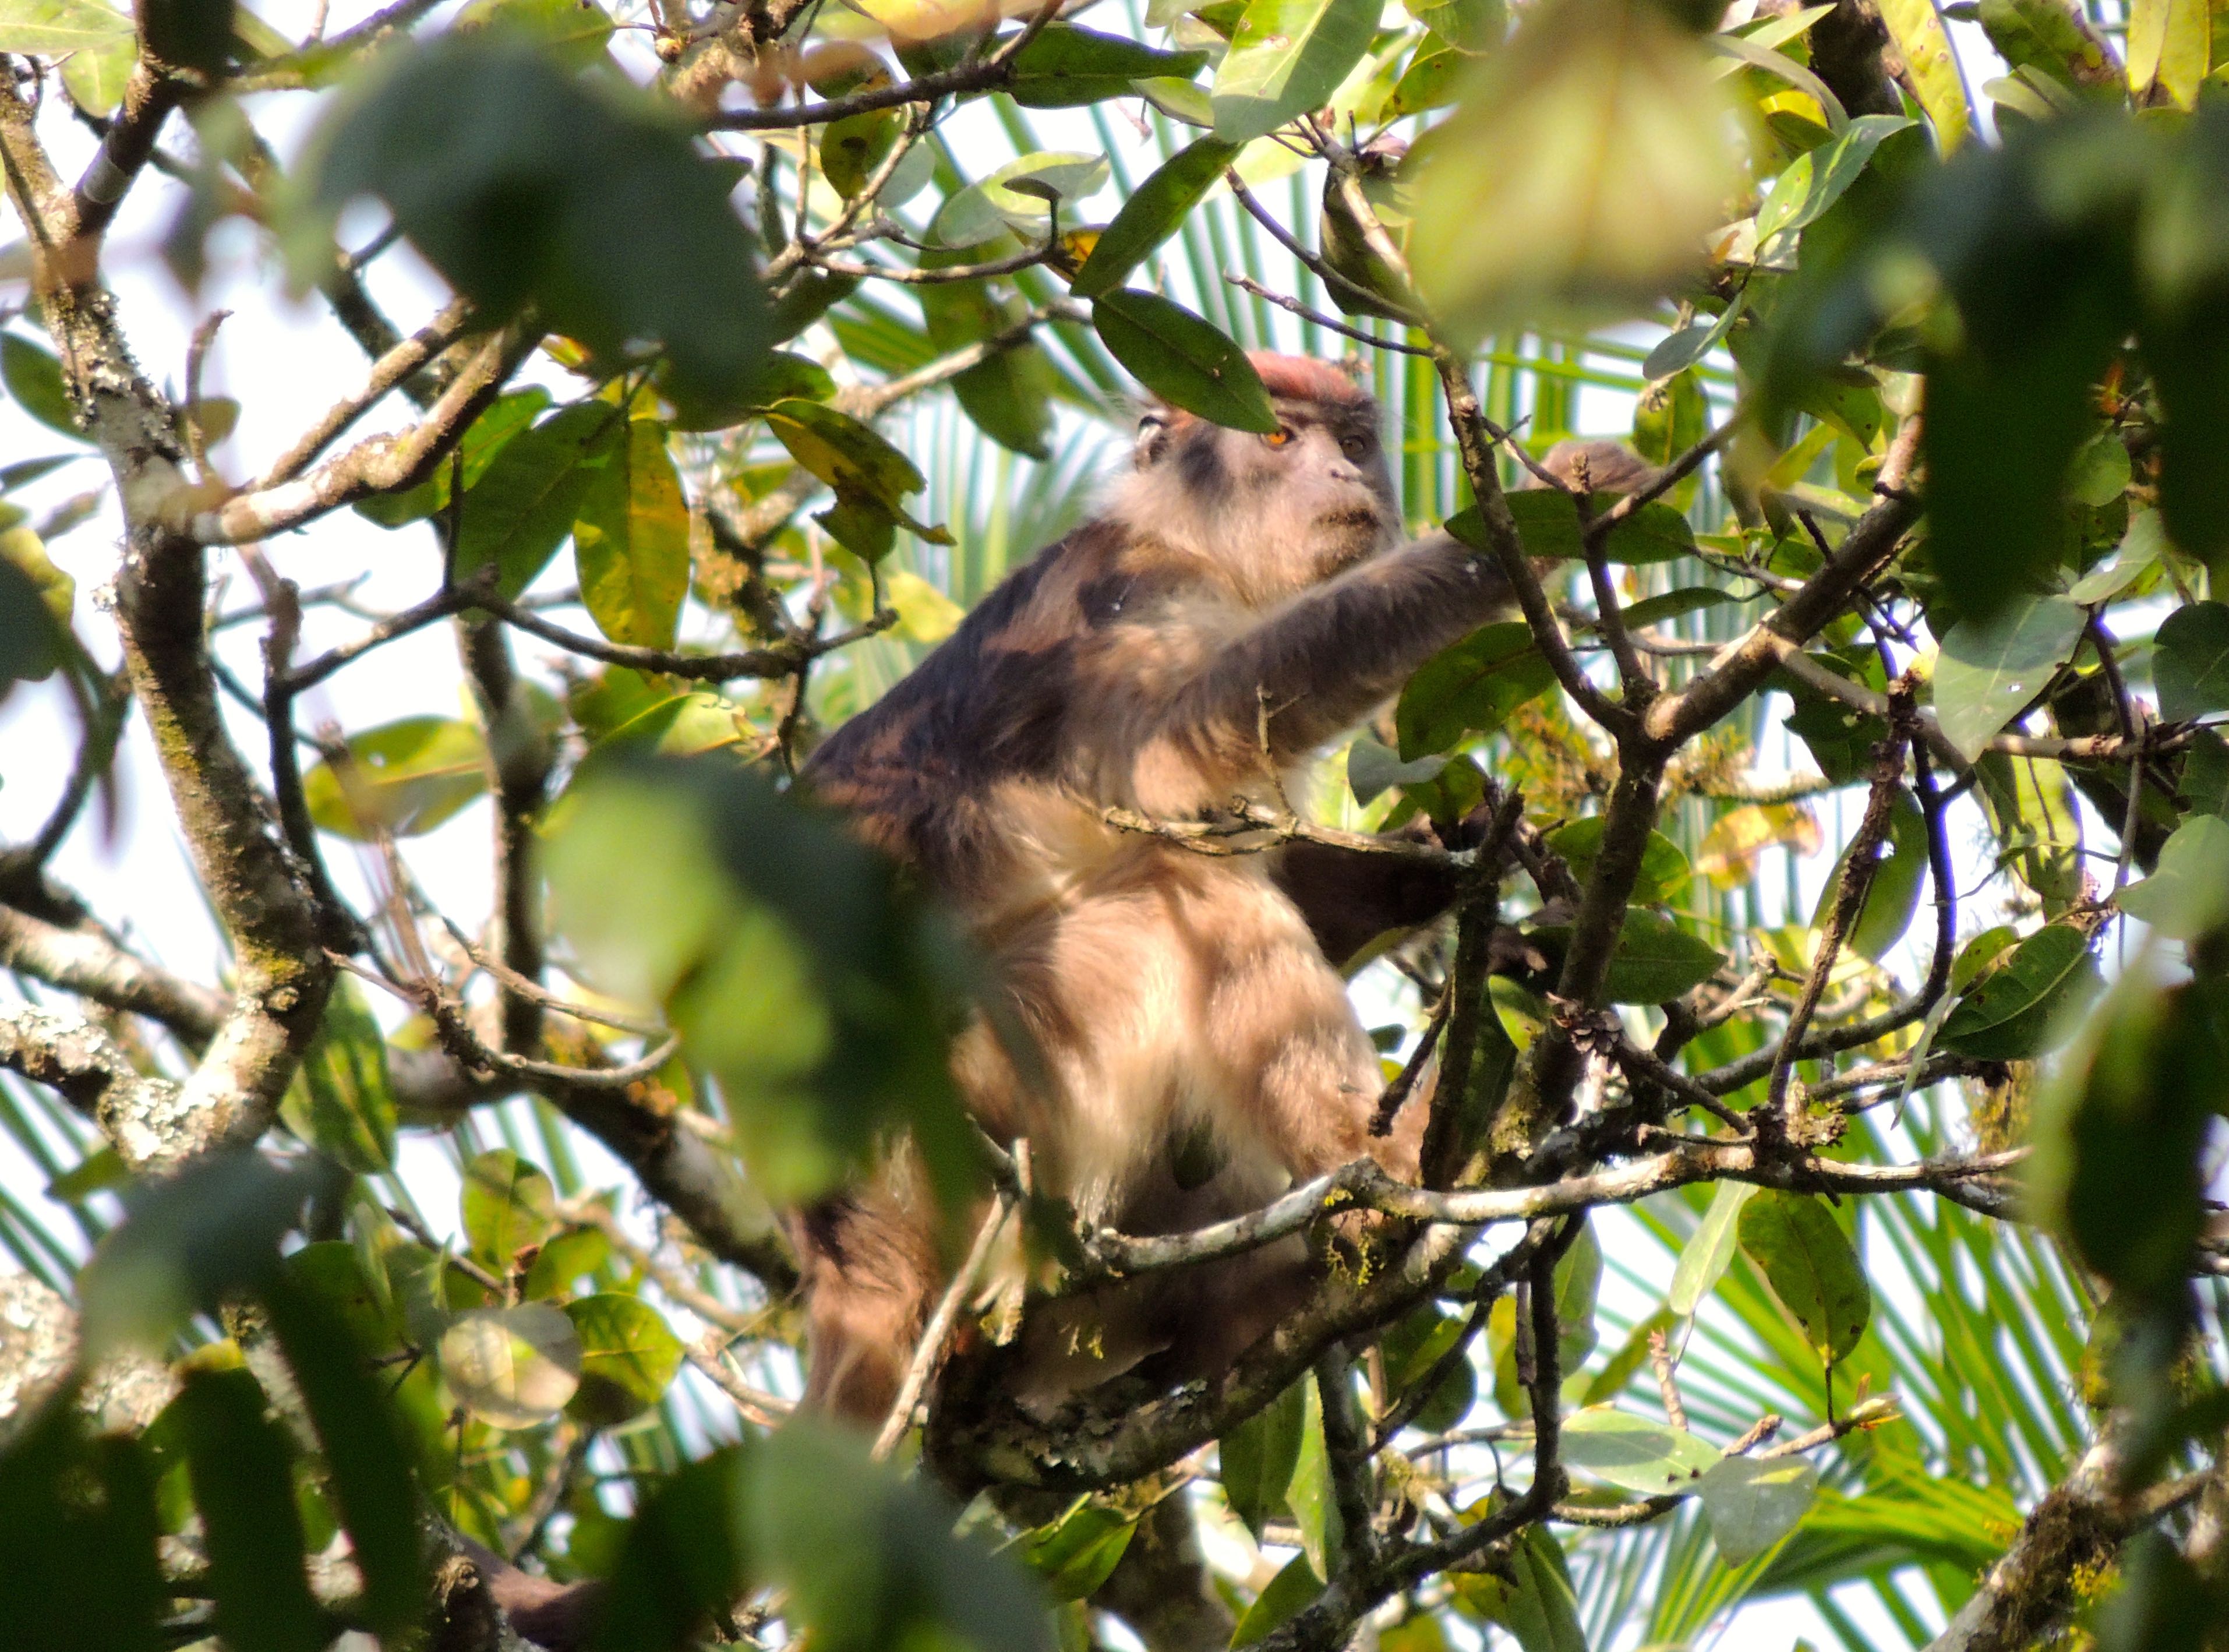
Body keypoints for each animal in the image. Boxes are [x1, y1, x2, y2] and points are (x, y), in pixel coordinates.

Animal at [793, 356, 1649, 1418]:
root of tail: (846, 1253)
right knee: (1181, 894)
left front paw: (1448, 862)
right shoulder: (1136, 593)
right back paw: (1401, 1169)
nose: (1345, 476)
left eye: (1353, 443)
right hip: (988, 1111)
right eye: (1280, 439)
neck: (1181, 535)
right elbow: (1178, 753)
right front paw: (1544, 514)